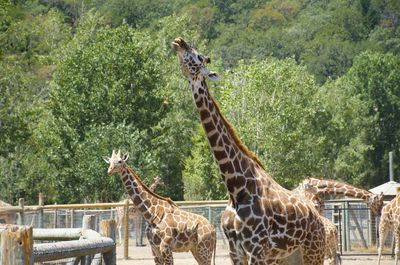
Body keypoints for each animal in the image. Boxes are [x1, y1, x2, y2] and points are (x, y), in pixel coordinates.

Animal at [171, 37, 324, 264]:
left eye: (199, 56)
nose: (179, 41)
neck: (236, 187)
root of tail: (319, 218)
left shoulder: (255, 248)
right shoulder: (235, 250)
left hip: (313, 251)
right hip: (288, 256)